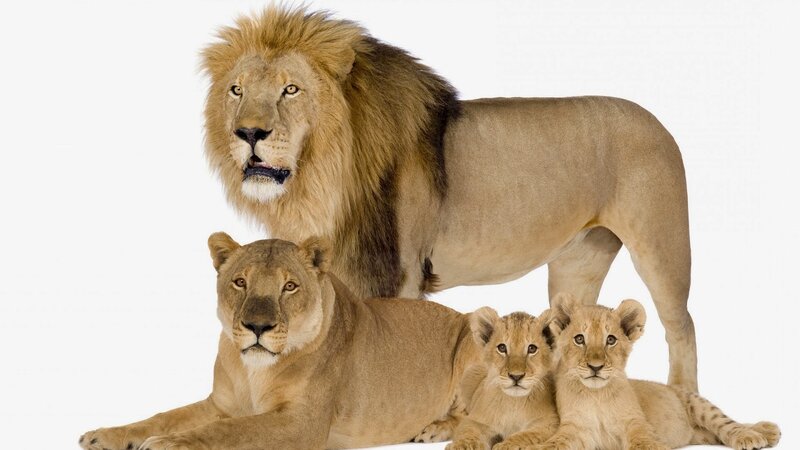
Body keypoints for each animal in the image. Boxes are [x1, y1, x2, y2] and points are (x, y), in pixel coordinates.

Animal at [79, 233, 481, 450]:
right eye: (240, 281)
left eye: (290, 286)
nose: (258, 326)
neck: (253, 370)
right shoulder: (221, 404)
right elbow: (163, 416)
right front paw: (106, 435)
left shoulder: (302, 423)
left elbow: (231, 431)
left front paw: (167, 444)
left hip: (474, 331)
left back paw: (432, 429)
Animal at [202, 6, 698, 391]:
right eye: (236, 90)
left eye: (291, 89)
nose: (248, 133)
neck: (322, 177)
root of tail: (658, 120)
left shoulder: (398, 273)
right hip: (578, 261)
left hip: (661, 247)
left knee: (682, 327)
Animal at [535, 295, 781, 450]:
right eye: (579, 339)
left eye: (611, 340)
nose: (596, 367)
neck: (596, 396)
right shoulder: (574, 428)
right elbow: (554, 444)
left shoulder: (637, 423)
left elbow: (646, 443)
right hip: (700, 433)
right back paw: (765, 431)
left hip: (698, 404)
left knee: (727, 423)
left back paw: (755, 434)